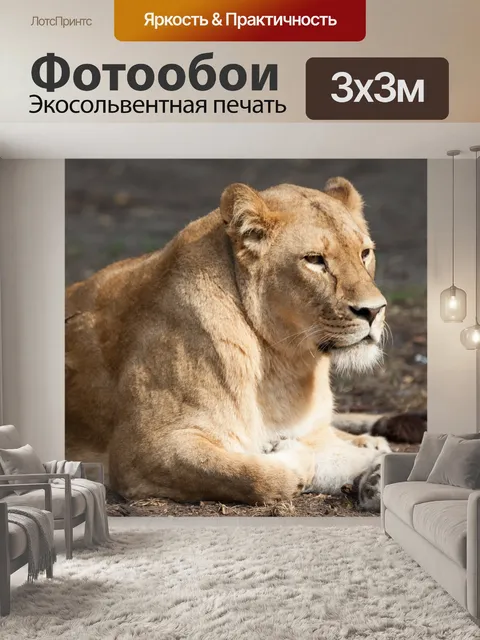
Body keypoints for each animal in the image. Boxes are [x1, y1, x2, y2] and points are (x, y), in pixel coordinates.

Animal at [65, 177, 392, 507]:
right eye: (314, 260)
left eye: (365, 253)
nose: (374, 310)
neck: (285, 365)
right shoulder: (141, 450)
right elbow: (262, 476)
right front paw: (289, 454)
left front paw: (377, 476)